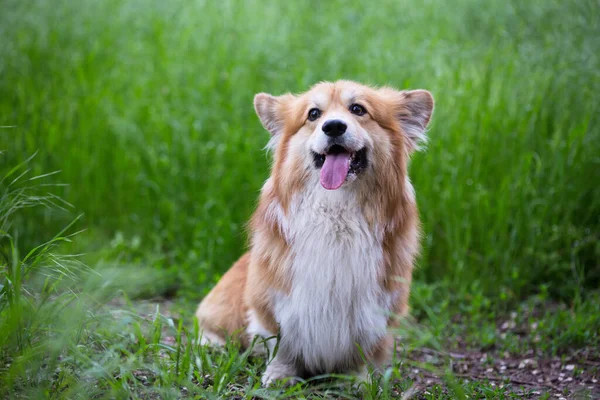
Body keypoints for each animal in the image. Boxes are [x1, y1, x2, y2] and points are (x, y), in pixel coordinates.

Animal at [195, 80, 434, 384]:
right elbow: (281, 342)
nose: (333, 127)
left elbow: (367, 348)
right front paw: (279, 375)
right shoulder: (274, 301)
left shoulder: (379, 306)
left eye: (358, 109)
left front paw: (361, 380)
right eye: (313, 114)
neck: (336, 212)